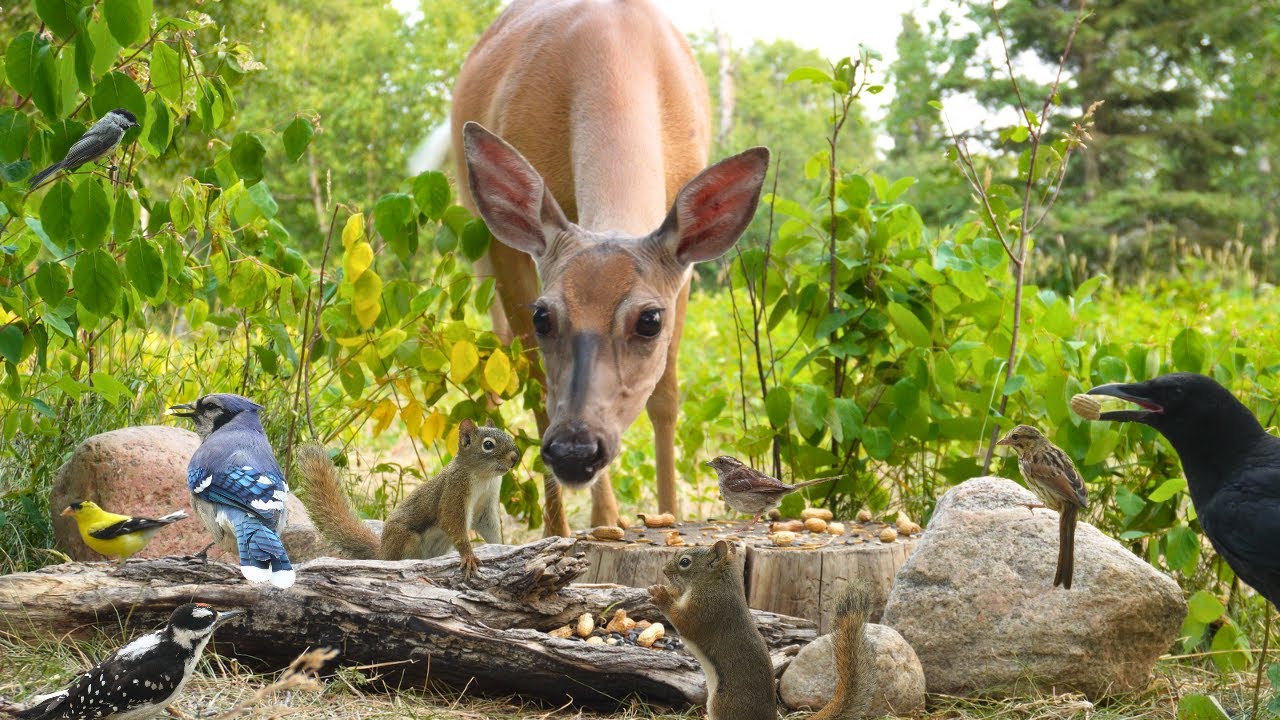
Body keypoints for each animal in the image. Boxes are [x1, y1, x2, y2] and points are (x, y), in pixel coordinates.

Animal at [450, 0, 769, 536]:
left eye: (650, 319)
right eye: (543, 316)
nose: (576, 451)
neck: (614, 49)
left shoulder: (684, 271)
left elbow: (665, 397)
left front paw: (667, 514)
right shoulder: (512, 253)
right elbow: (539, 388)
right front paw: (577, 526)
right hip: (479, 242)